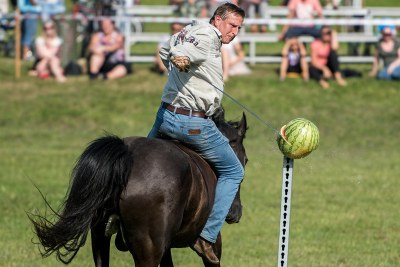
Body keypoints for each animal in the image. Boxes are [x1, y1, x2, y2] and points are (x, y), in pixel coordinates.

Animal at [28, 108, 247, 266]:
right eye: (245, 160)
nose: (234, 213)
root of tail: (127, 154)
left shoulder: (166, 248)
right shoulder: (212, 243)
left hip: (99, 237)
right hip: (147, 250)